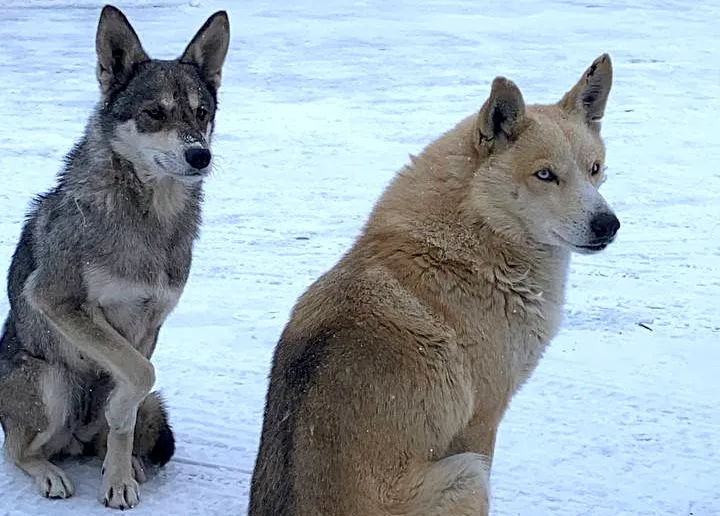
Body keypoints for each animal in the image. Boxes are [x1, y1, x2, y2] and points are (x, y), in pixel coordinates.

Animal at [249, 54, 620, 512]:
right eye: (545, 174)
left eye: (595, 169)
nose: (608, 224)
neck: (478, 236)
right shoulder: (482, 423)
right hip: (467, 475)